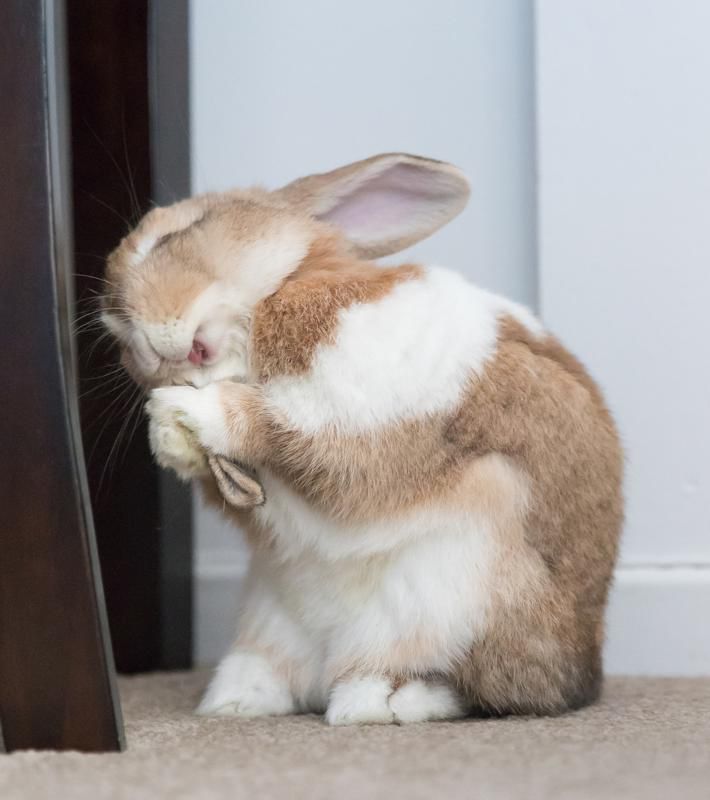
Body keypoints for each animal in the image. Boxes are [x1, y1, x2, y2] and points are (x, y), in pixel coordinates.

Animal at [100, 152, 624, 724]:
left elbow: (288, 433)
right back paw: (238, 701)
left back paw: (380, 701)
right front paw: (168, 434)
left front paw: (184, 410)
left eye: (181, 231)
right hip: (273, 619)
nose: (135, 343)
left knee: (477, 688)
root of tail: (583, 669)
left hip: (455, 605)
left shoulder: (359, 412)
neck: (275, 295)